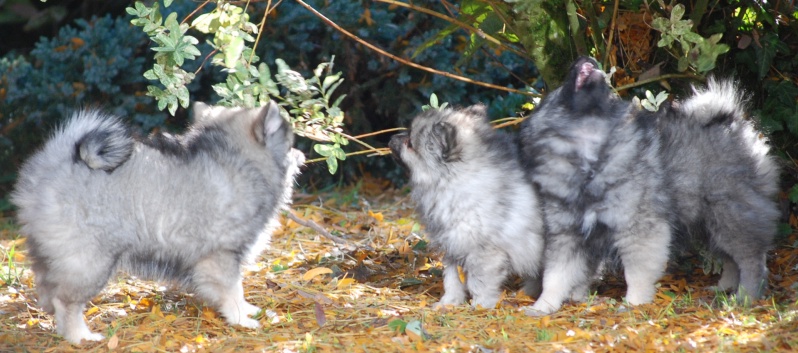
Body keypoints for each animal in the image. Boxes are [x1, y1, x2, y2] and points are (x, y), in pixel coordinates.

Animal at [12, 100, 306, 342]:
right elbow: (233, 290)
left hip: (52, 254)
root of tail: (57, 162)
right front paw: (241, 319)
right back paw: (80, 337)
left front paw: (248, 311)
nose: (302, 154)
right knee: (66, 302)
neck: (239, 162)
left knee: (48, 288)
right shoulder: (221, 256)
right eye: (290, 143)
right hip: (89, 262)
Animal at [390, 104, 548, 308]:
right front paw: (449, 302)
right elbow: (451, 279)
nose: (391, 138)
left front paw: (480, 305)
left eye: (409, 142)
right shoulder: (452, 246)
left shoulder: (484, 252)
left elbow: (478, 282)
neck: (453, 183)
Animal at [520, 57, 676, 314]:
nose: (586, 57)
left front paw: (634, 302)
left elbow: (636, 273)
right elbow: (554, 276)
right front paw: (543, 305)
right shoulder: (566, 234)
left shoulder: (636, 229)